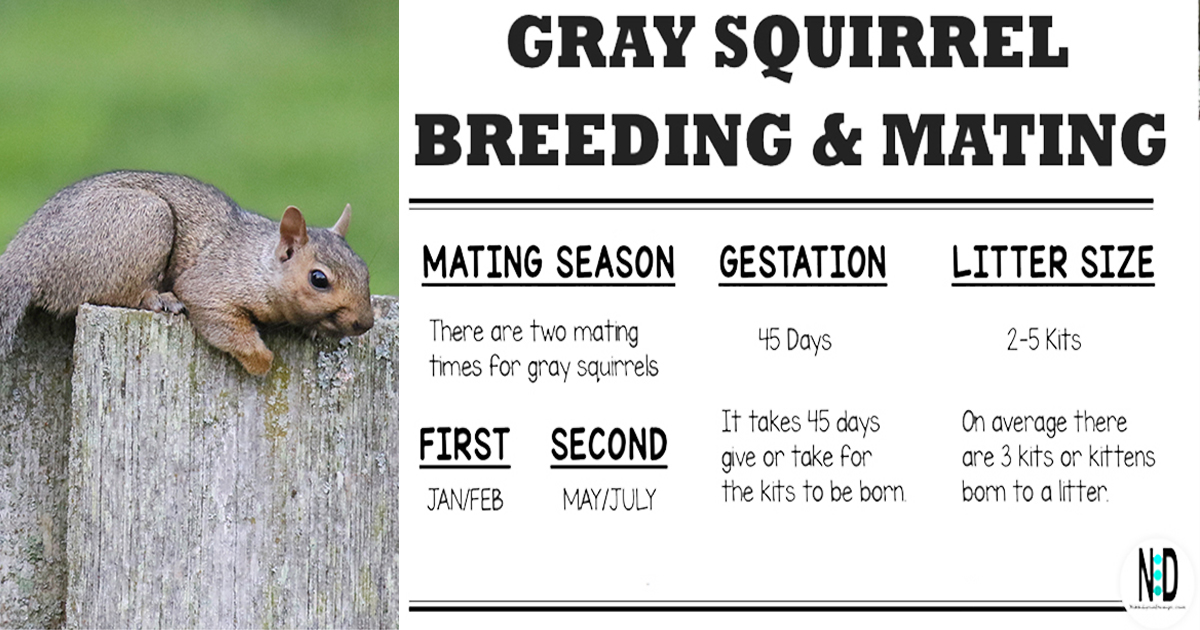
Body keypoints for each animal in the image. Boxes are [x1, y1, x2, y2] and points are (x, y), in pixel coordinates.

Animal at [0, 170, 373, 375]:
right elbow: (223, 322)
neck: (257, 263)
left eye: (365, 270)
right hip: (141, 222)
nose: (365, 323)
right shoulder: (211, 282)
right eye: (318, 279)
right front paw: (260, 360)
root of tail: (27, 257)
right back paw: (159, 299)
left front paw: (315, 329)